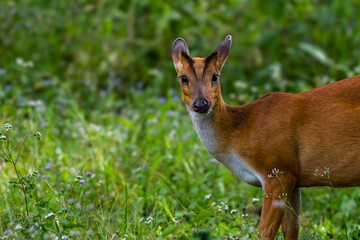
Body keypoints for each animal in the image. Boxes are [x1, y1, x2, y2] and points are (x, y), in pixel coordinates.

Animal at [171, 34, 360, 239]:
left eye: (215, 77)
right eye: (183, 78)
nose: (201, 104)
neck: (238, 132)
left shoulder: (277, 169)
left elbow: (265, 232)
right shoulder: (294, 177)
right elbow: (292, 229)